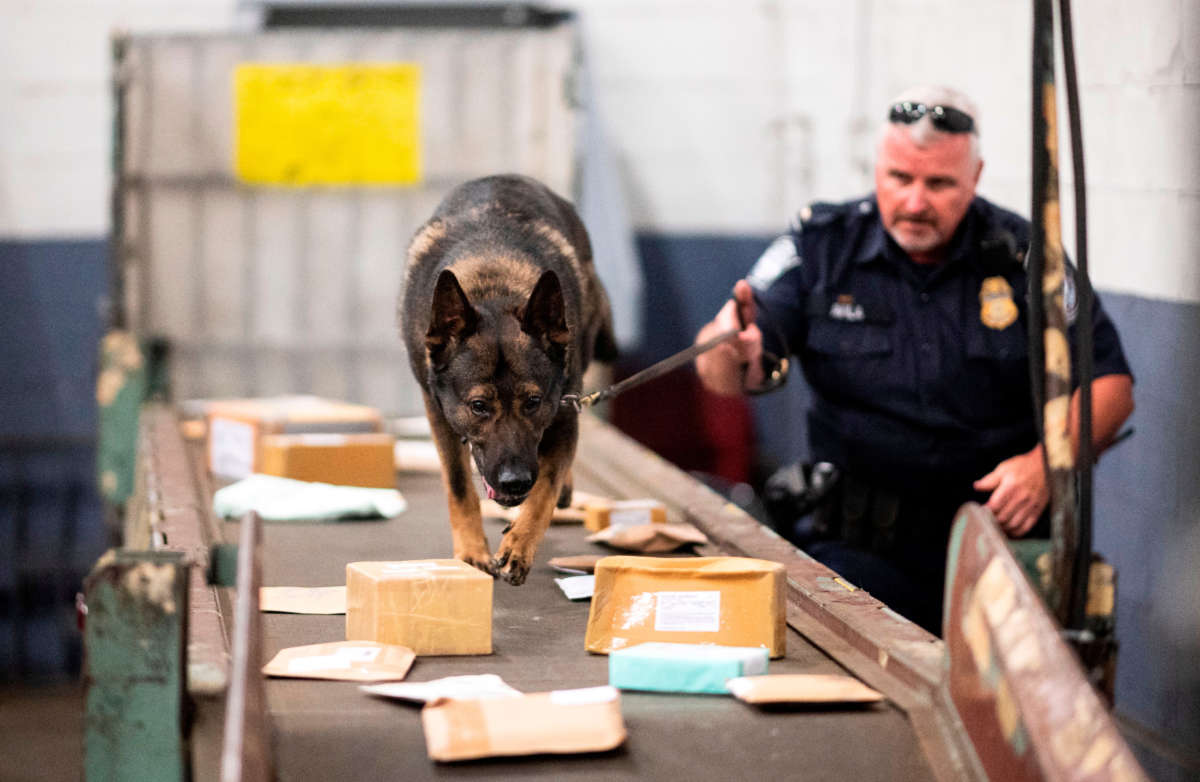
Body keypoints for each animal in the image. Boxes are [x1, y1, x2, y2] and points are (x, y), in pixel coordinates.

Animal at [400, 173, 614, 582]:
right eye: (478, 406)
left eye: (533, 402)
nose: (514, 481)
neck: (494, 285)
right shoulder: (437, 412)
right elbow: (458, 484)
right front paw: (471, 553)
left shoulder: (565, 409)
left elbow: (545, 489)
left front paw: (519, 545)